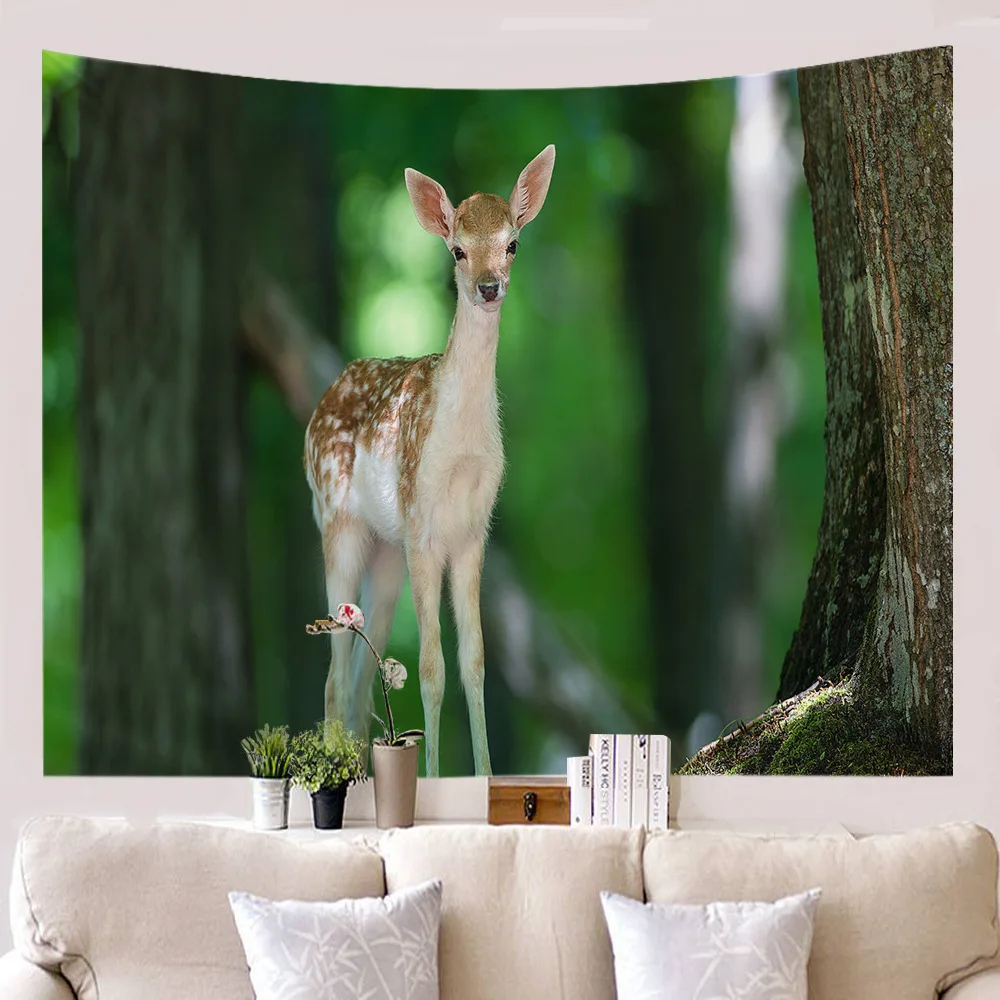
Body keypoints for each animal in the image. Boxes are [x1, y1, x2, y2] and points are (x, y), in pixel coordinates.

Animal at [303, 145, 556, 777]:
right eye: (457, 248)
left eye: (513, 242)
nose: (488, 287)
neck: (461, 449)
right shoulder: (422, 525)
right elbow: (431, 668)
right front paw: (436, 776)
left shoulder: (472, 532)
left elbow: (475, 663)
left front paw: (485, 776)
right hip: (338, 523)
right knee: (335, 676)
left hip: (387, 553)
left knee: (360, 679)